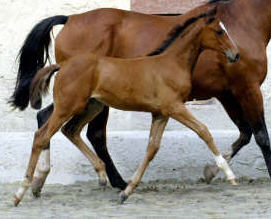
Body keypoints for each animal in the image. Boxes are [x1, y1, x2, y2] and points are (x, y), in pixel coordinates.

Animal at [9, 0, 271, 195]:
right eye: (219, 31)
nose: (235, 54)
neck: (246, 20)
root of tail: (70, 19)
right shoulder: (247, 89)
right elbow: (260, 135)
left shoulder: (228, 94)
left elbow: (244, 133)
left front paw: (210, 171)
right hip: (84, 99)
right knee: (84, 131)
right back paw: (113, 182)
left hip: (89, 100)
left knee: (55, 121)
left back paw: (43, 181)